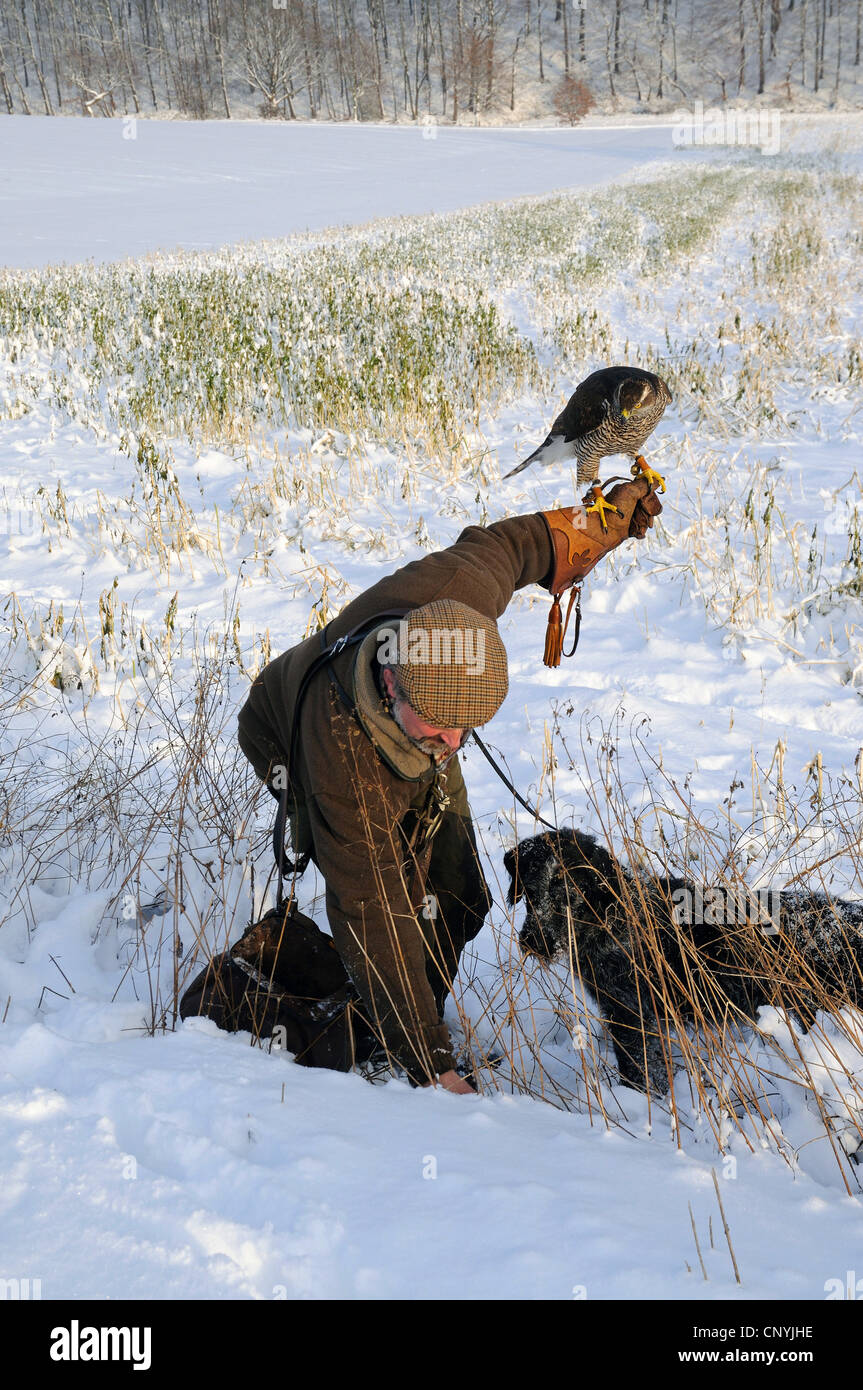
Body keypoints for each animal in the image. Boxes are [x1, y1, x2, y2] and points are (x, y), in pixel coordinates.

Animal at [500, 828, 861, 1089]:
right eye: (529, 891)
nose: (535, 942)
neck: (611, 912)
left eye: (567, 891)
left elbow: (640, 1068)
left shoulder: (631, 1014)